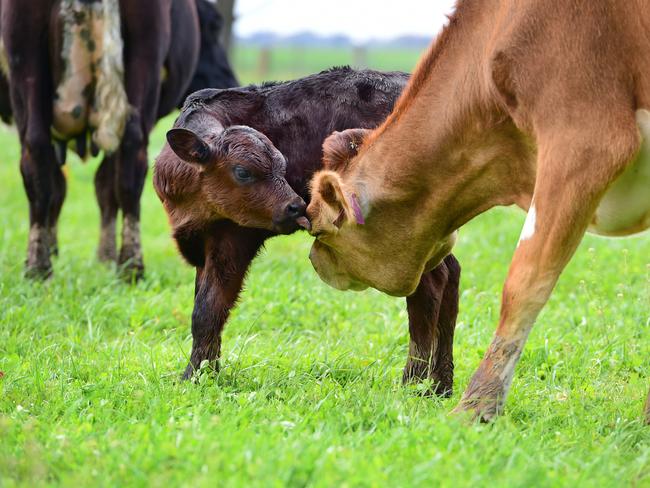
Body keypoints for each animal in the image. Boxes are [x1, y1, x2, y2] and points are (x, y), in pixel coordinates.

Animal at [154, 66, 460, 392]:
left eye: (281, 166)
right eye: (243, 172)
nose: (297, 207)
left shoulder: (232, 239)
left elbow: (208, 309)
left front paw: (194, 377)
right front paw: (208, 372)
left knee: (430, 286)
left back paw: (413, 383)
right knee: (451, 275)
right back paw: (441, 385)